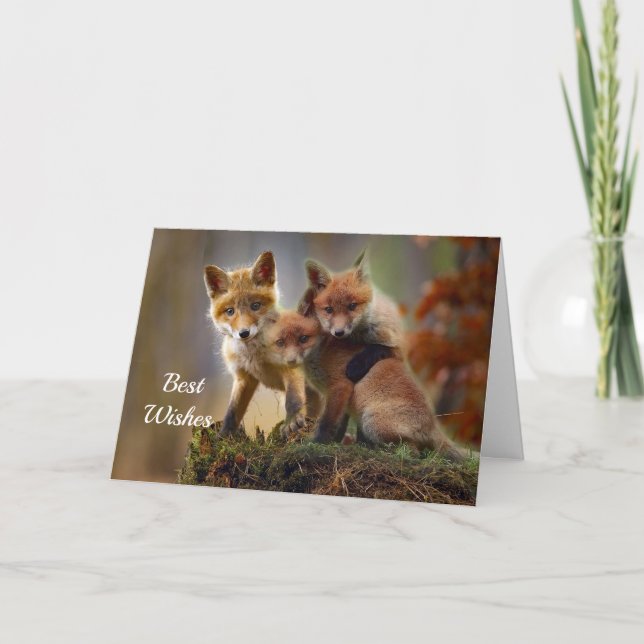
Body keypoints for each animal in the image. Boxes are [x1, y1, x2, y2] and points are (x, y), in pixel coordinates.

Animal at [203, 251, 307, 437]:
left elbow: (293, 399)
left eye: (255, 306)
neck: (255, 355)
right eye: (230, 311)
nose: (244, 333)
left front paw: (292, 421)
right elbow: (232, 411)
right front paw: (224, 435)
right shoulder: (243, 377)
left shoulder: (292, 366)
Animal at [264, 288, 465, 461]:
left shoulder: (340, 386)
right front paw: (333, 443)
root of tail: (433, 424)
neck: (322, 351)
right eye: (280, 343)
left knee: (413, 453)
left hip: (371, 422)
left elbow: (328, 423)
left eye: (303, 339)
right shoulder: (341, 399)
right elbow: (339, 426)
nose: (291, 361)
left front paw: (317, 444)